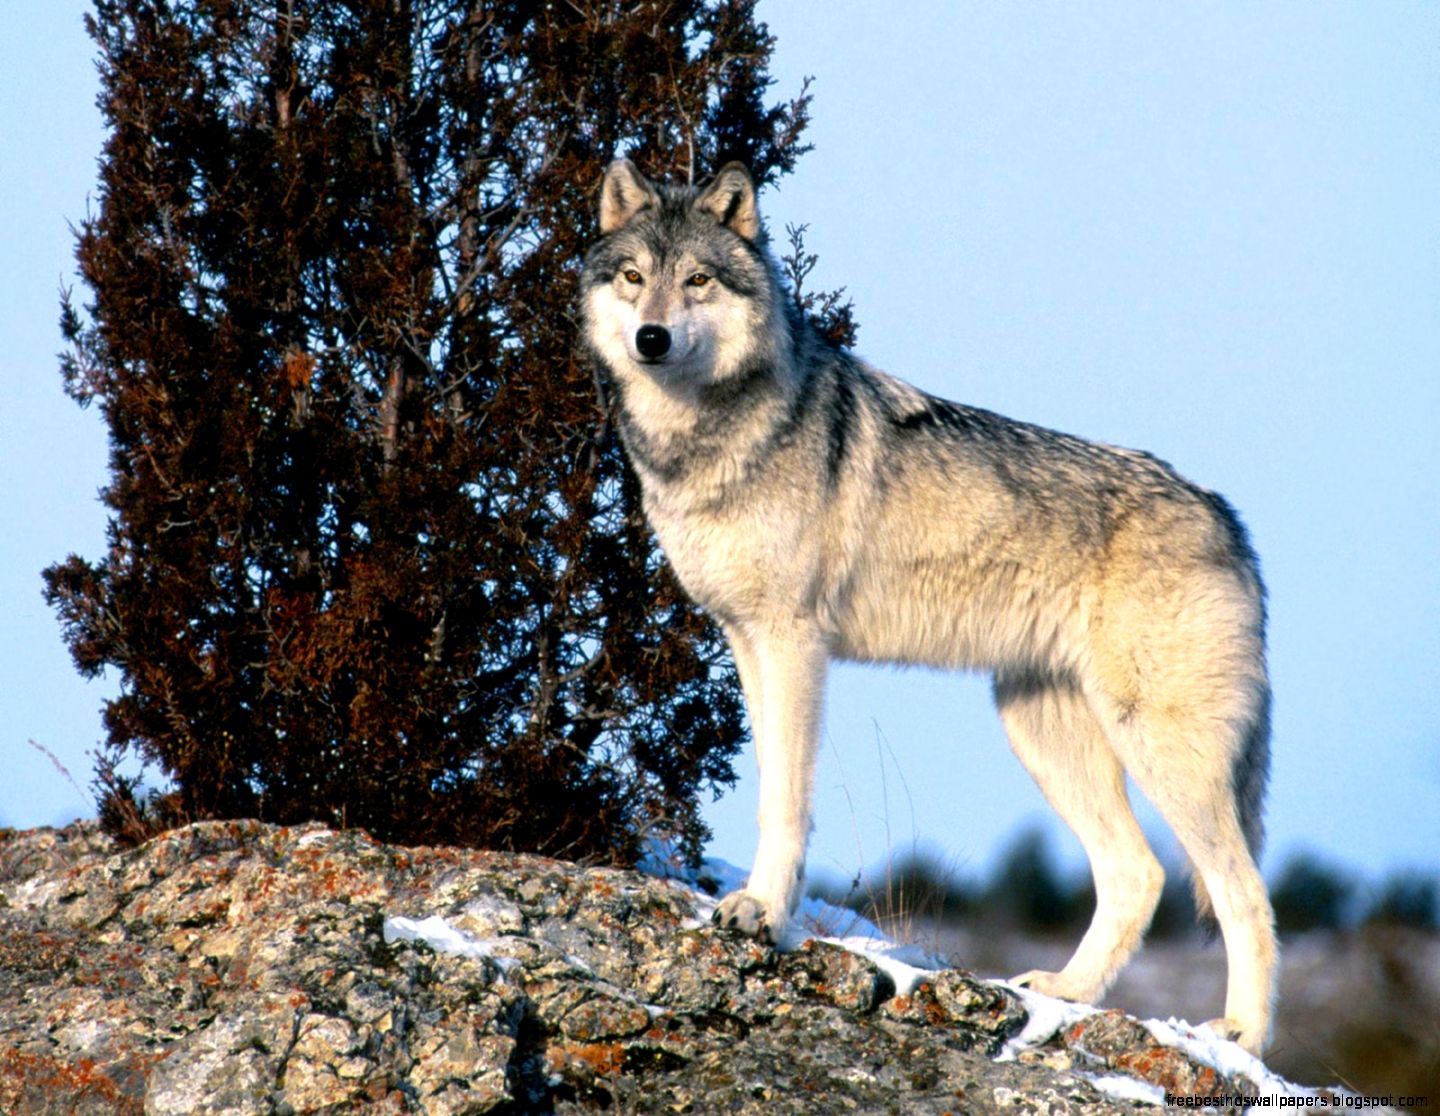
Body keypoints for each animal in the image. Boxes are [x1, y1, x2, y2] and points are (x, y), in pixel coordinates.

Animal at [580, 158, 1278, 1054]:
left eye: (697, 279)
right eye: (635, 278)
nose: (652, 339)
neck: (707, 438)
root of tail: (1226, 516)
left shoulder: (794, 643)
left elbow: (787, 802)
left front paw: (762, 914)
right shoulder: (746, 641)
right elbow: (772, 787)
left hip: (1158, 748)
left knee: (1244, 892)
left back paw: (1242, 1039)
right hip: (1038, 730)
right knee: (1140, 874)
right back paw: (1065, 994)